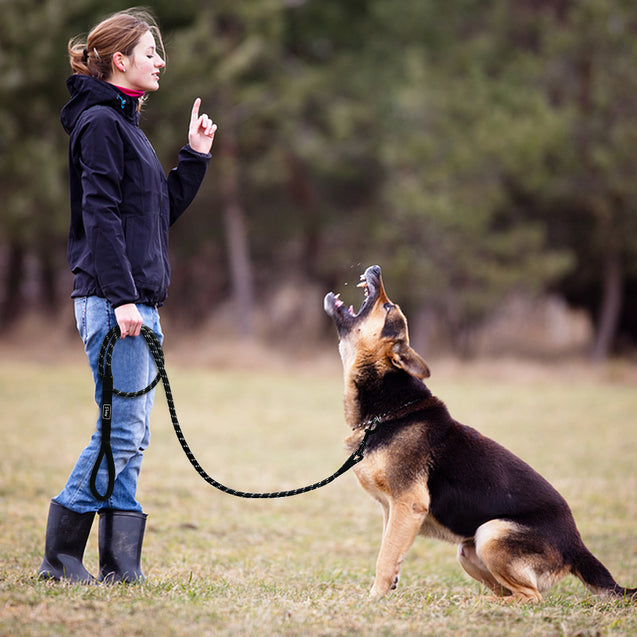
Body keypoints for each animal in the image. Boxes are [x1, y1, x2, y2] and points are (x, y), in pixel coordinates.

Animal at [326, 264, 632, 600]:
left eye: (387, 307)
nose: (376, 268)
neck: (389, 408)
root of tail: (577, 547)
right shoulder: (391, 511)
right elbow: (390, 553)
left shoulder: (408, 505)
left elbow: (385, 558)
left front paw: (375, 600)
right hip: (468, 551)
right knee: (512, 593)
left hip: (491, 532)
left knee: (532, 597)